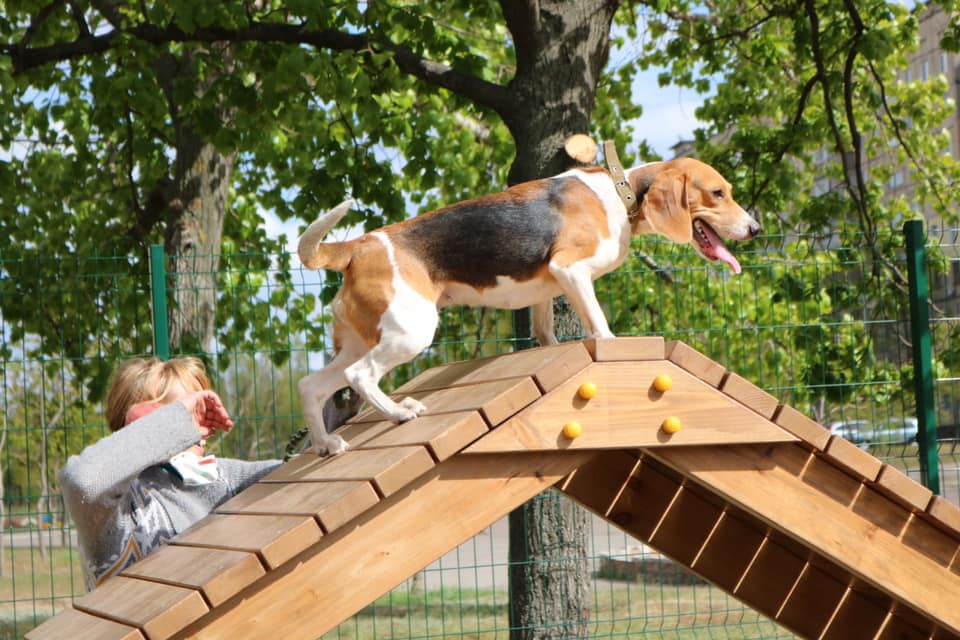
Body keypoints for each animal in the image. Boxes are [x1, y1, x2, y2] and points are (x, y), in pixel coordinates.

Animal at [296, 155, 760, 456]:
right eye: (717, 193)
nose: (756, 228)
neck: (619, 192)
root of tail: (357, 246)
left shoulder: (548, 291)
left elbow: (545, 333)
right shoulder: (571, 269)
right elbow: (600, 324)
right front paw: (613, 347)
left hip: (361, 340)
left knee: (312, 386)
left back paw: (326, 443)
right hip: (410, 331)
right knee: (360, 376)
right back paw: (398, 413)